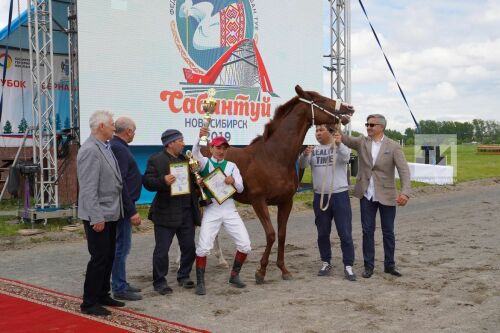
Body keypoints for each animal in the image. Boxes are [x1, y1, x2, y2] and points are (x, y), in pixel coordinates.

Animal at [225, 85, 354, 282]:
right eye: (322, 100)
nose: (349, 108)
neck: (273, 157)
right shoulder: (258, 201)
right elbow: (271, 235)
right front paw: (261, 272)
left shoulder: (286, 202)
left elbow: (282, 234)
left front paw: (283, 270)